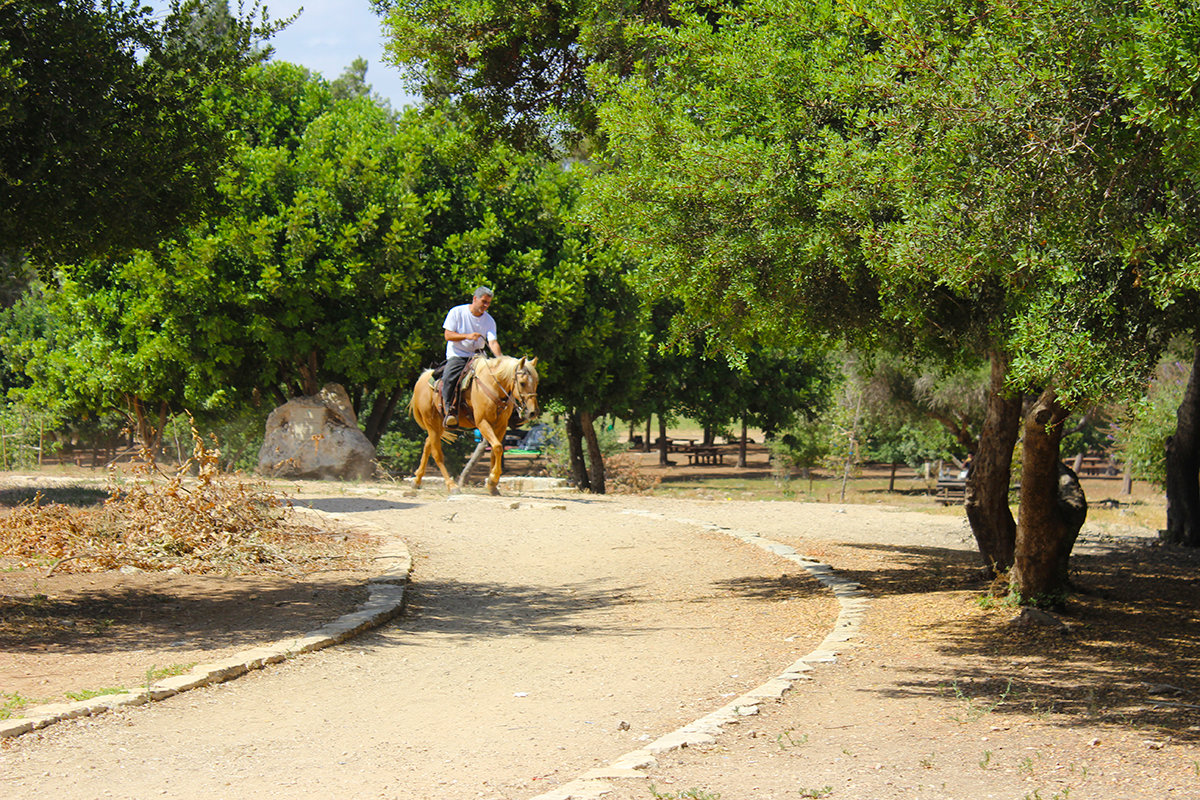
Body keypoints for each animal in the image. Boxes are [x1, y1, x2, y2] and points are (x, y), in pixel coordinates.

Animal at [412, 357, 544, 494]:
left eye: (536, 382)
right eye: (522, 383)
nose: (533, 412)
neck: (493, 386)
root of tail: (423, 378)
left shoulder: (501, 425)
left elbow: (495, 450)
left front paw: (492, 485)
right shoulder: (482, 423)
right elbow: (498, 447)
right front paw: (493, 478)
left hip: (439, 426)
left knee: (428, 444)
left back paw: (417, 480)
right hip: (431, 423)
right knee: (437, 454)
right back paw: (451, 485)